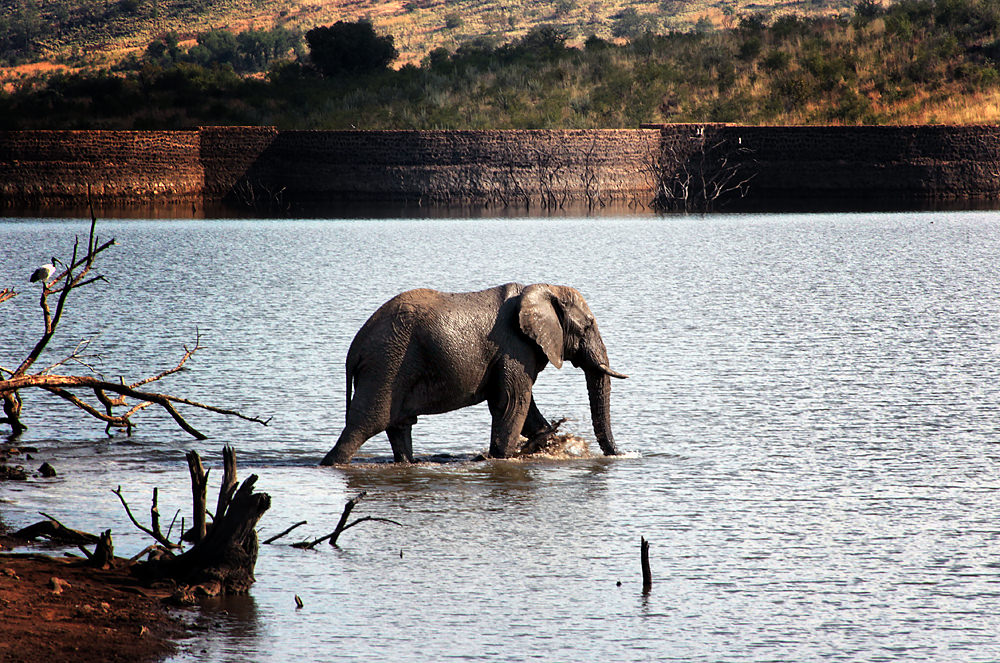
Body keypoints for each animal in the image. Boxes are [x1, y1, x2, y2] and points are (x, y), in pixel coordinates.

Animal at [320, 282, 627, 465]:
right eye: (588, 326)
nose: (621, 454)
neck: (540, 288)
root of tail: (353, 350)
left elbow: (522, 407)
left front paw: (549, 440)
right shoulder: (514, 347)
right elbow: (513, 403)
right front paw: (501, 457)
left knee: (399, 426)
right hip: (385, 366)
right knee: (363, 426)